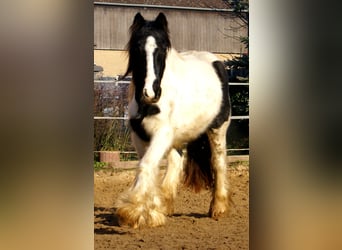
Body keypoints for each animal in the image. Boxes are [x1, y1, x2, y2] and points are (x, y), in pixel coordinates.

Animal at [116, 12, 231, 229]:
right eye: (137, 48)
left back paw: (219, 208)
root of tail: (216, 61)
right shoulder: (139, 136)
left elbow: (147, 165)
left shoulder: (162, 133)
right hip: (178, 136)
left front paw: (132, 212)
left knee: (218, 162)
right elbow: (149, 166)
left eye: (161, 49)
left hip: (217, 129)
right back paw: (165, 204)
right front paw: (152, 212)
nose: (150, 93)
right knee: (176, 162)